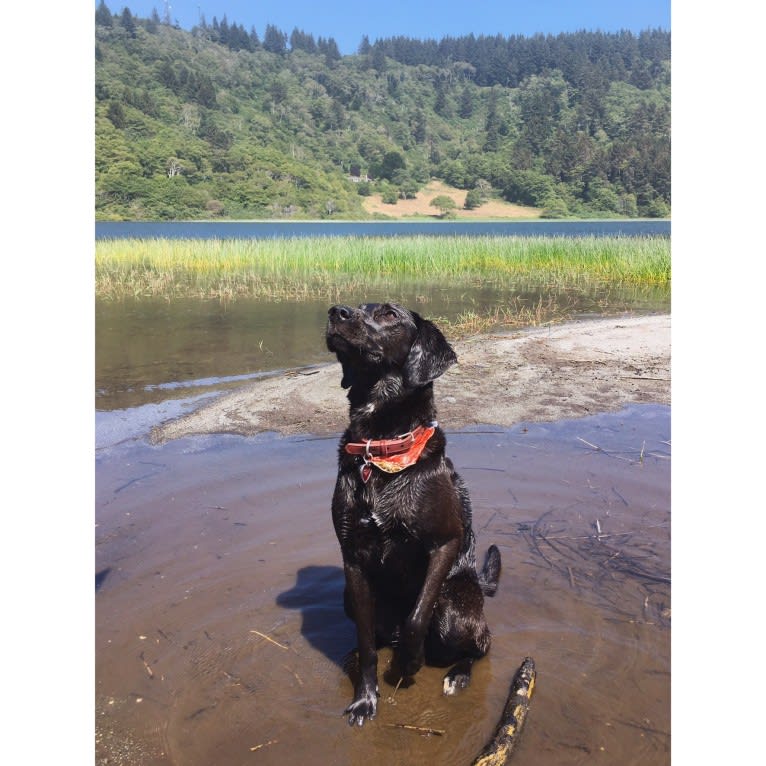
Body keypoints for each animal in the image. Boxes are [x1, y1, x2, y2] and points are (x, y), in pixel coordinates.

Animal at [326, 304, 500, 728]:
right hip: (349, 597)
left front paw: (408, 663)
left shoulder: (445, 543)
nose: (336, 311)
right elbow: (367, 644)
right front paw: (365, 698)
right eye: (357, 305)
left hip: (456, 608)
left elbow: (417, 618)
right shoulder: (353, 560)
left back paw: (458, 673)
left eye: (389, 314)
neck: (380, 448)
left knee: (482, 644)